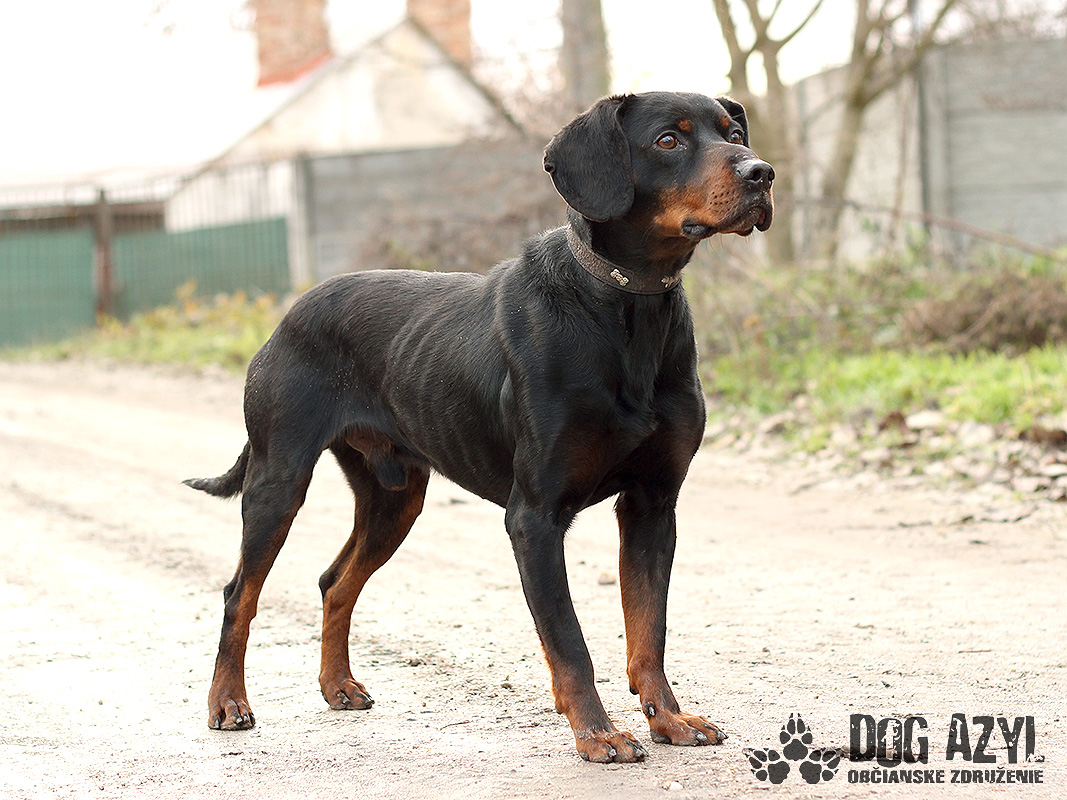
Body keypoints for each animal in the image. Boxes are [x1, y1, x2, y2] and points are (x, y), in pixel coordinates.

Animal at [185, 91, 773, 763]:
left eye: (733, 133)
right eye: (668, 141)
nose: (762, 173)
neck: (625, 306)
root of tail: (287, 316)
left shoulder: (653, 502)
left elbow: (649, 630)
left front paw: (670, 719)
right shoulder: (535, 517)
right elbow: (569, 640)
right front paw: (598, 734)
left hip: (394, 497)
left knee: (336, 582)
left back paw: (338, 686)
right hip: (278, 480)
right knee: (240, 594)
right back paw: (228, 702)